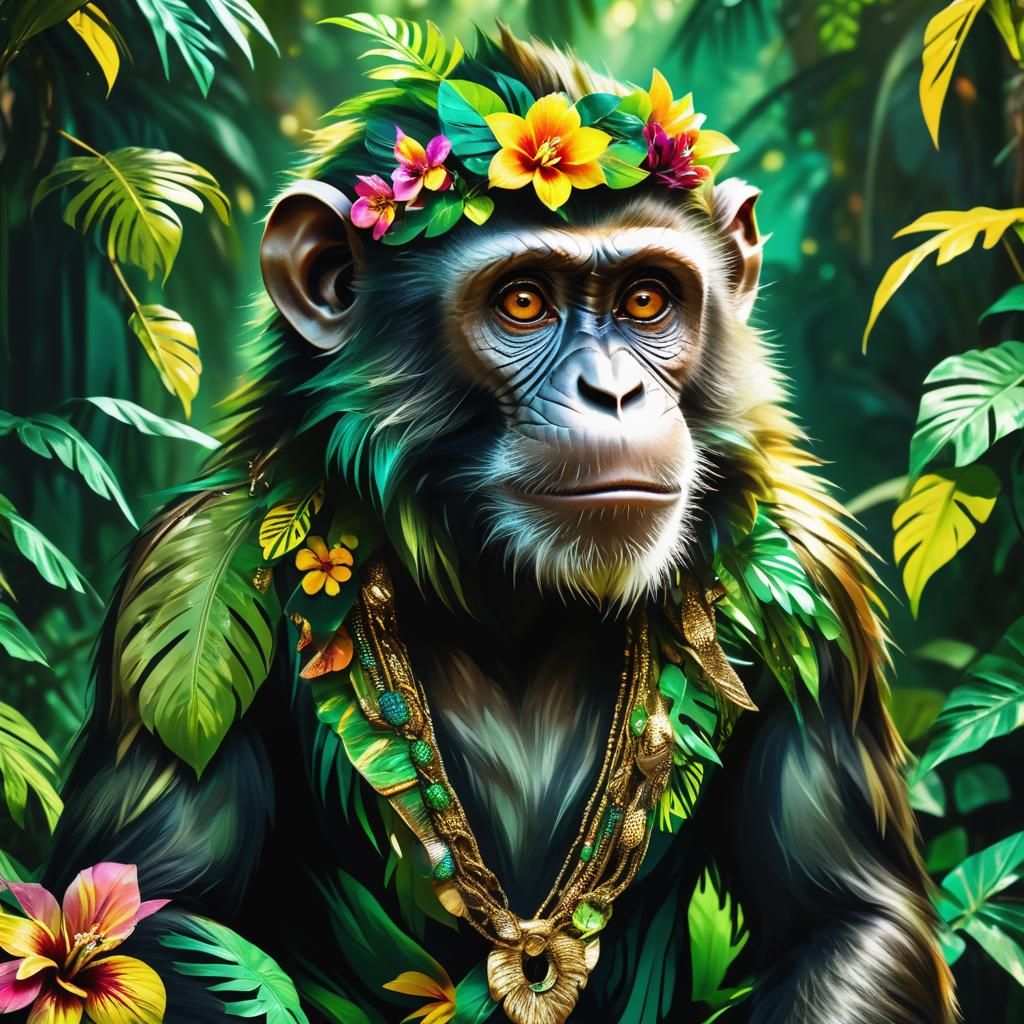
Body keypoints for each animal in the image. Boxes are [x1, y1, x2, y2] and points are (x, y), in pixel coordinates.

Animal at [40, 25, 957, 1024]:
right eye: (523, 302)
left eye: (646, 299)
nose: (615, 392)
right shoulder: (186, 576)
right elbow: (146, 915)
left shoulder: (811, 579)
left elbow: (850, 916)